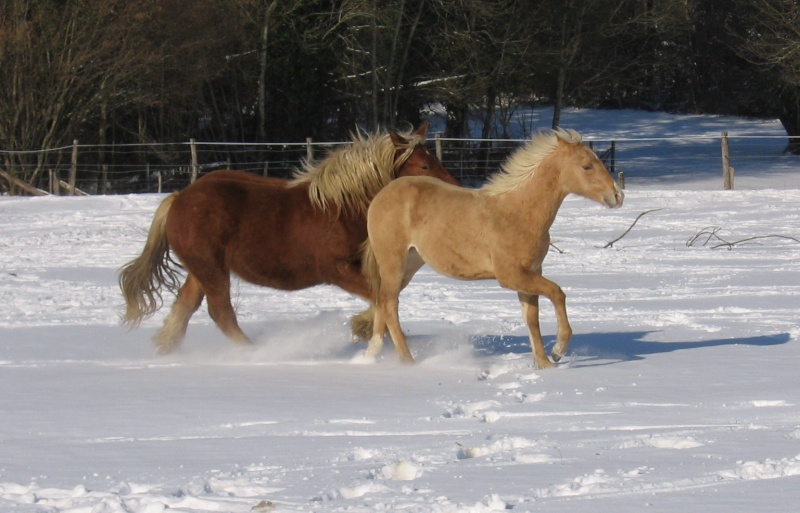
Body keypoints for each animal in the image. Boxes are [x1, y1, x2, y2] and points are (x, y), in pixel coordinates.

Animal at [118, 125, 456, 356]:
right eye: (424, 166)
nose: (455, 190)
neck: (343, 208)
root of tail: (178, 198)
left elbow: (389, 293)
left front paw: (361, 328)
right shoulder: (337, 270)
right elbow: (381, 296)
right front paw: (364, 328)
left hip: (201, 270)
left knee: (185, 306)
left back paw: (167, 349)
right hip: (211, 269)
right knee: (220, 312)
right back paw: (253, 352)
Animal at [362, 128, 624, 368]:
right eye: (586, 166)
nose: (618, 196)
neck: (517, 213)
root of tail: (380, 196)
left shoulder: (531, 273)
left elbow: (532, 318)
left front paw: (544, 364)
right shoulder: (510, 276)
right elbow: (557, 293)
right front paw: (558, 351)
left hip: (411, 263)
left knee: (382, 300)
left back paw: (370, 354)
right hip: (393, 262)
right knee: (389, 304)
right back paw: (408, 362)